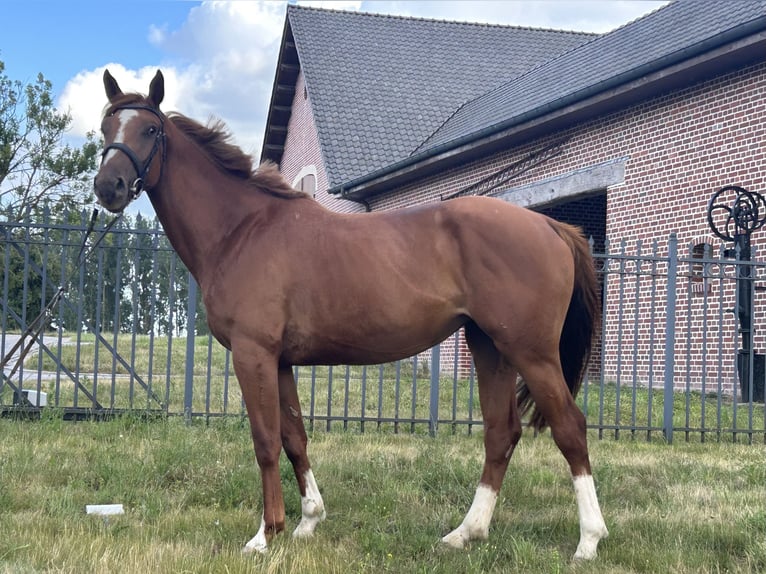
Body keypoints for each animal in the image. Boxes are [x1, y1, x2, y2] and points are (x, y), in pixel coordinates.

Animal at [93, 69, 608, 559]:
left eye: (151, 130)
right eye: (106, 127)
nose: (108, 186)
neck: (242, 230)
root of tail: (550, 224)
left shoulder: (252, 354)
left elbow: (265, 440)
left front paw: (265, 533)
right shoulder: (280, 362)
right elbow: (294, 437)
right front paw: (308, 521)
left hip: (531, 352)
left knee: (570, 428)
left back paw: (588, 540)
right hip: (489, 347)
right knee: (502, 432)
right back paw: (466, 533)